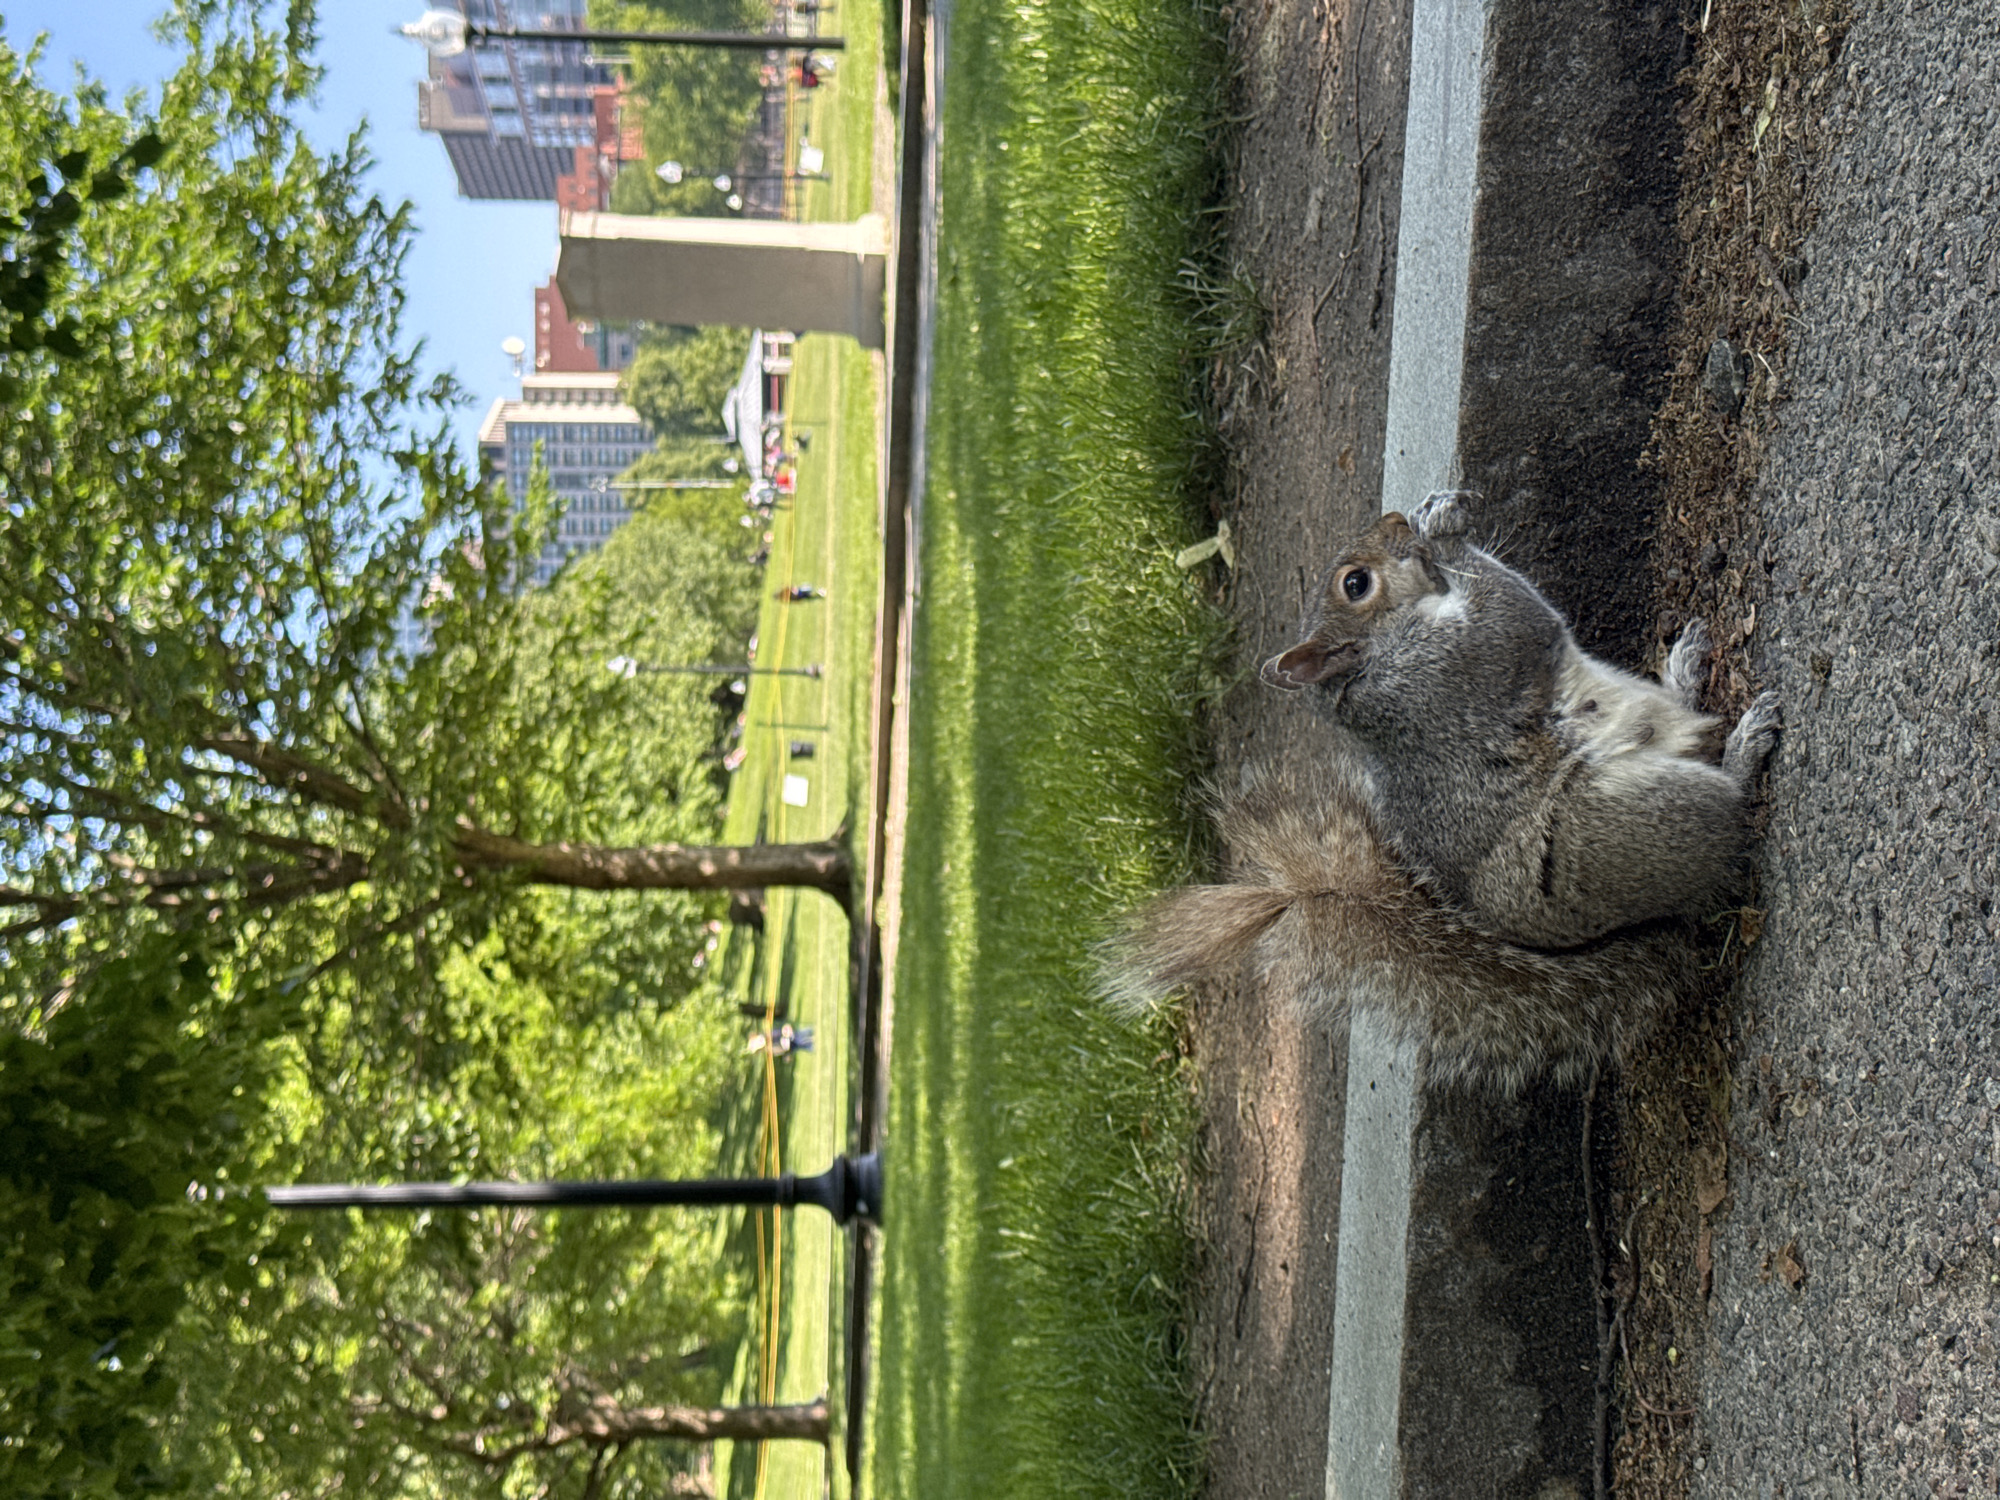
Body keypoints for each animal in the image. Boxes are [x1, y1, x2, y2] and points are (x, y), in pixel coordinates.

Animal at [1104, 492, 1780, 1092]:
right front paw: (1446, 533)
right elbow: (1515, 617)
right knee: (1728, 815)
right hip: (1628, 823)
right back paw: (1746, 752)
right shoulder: (1452, 667)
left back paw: (1684, 674)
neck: (1375, 660)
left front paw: (1434, 517)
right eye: (1356, 584)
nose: (1394, 519)